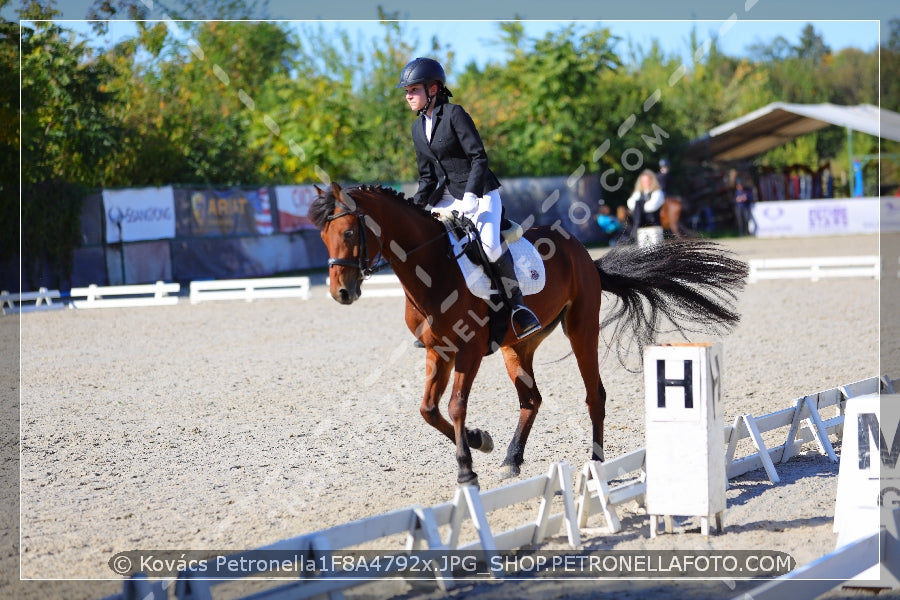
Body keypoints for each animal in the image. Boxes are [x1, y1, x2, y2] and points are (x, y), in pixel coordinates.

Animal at [312, 183, 748, 488]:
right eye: (322, 237)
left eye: (348, 233)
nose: (341, 292)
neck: (433, 268)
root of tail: (583, 254)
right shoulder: (438, 351)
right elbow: (428, 409)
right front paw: (480, 441)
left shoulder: (468, 351)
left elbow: (454, 405)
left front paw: (467, 470)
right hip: (517, 345)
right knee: (531, 399)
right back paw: (511, 458)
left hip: (581, 328)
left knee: (594, 395)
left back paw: (596, 462)